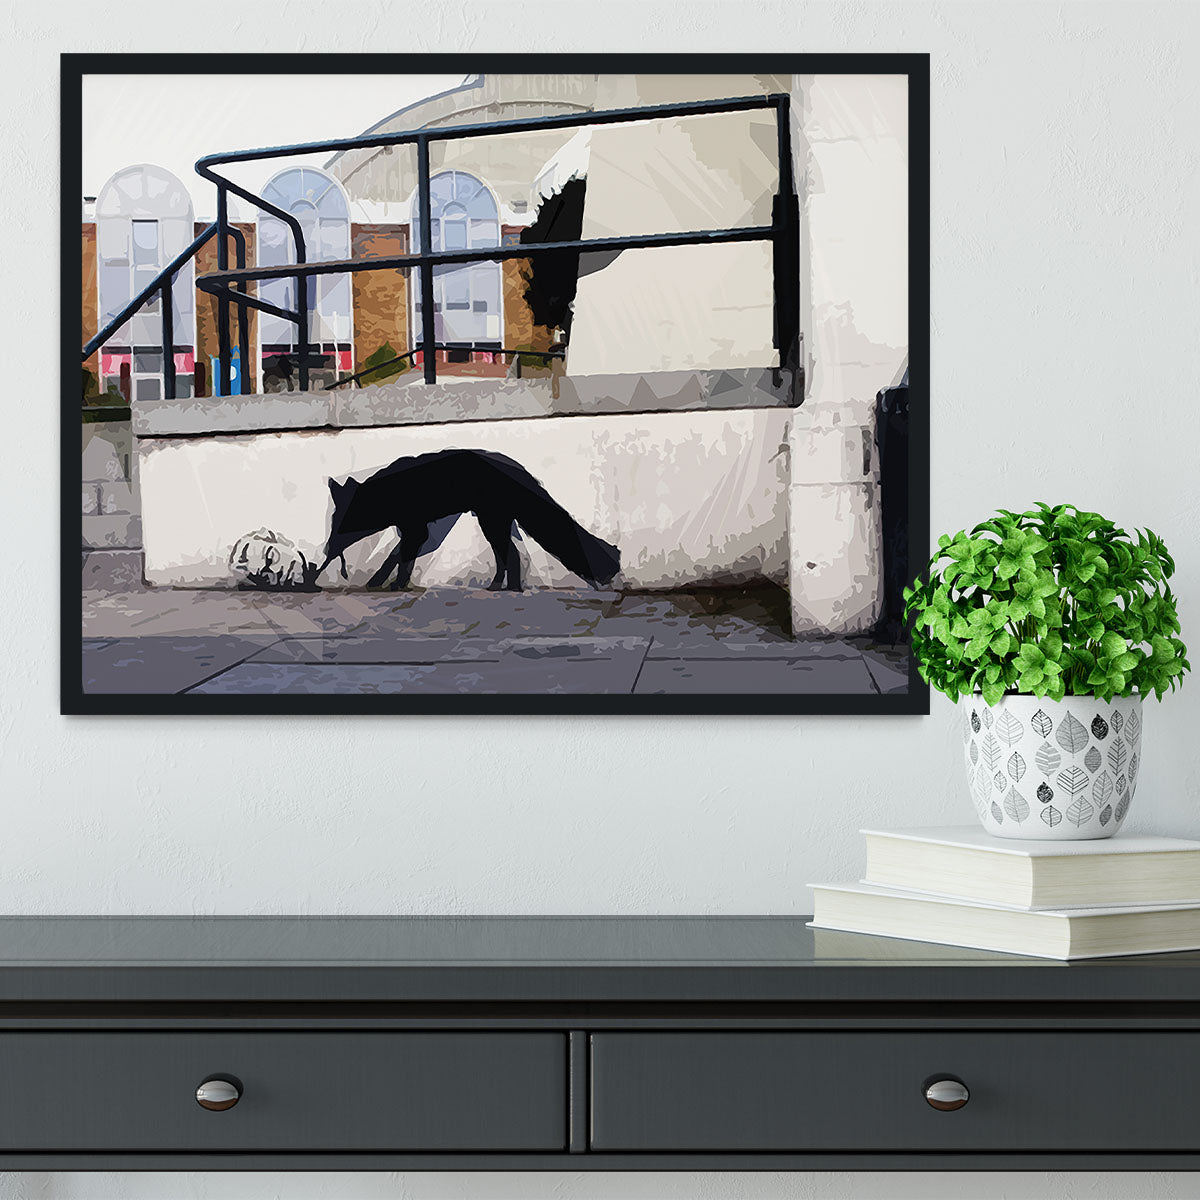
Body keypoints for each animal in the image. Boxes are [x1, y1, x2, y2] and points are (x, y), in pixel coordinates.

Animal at [315, 448, 621, 592]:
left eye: (339, 524)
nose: (327, 551)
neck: (386, 493)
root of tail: (517, 469)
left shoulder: (415, 530)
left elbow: (402, 559)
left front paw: (395, 583)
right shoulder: (412, 530)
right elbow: (397, 557)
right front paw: (382, 580)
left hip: (492, 522)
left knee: (510, 555)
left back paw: (509, 587)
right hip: (493, 522)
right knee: (507, 555)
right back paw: (502, 586)